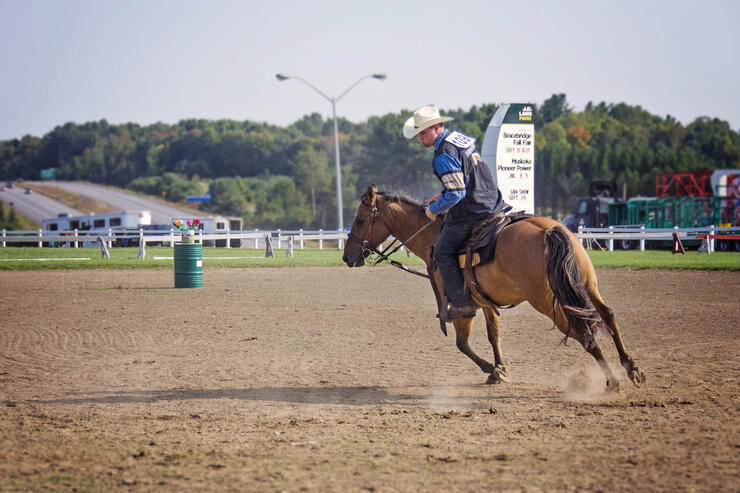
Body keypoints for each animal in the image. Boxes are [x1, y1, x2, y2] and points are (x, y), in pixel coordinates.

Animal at [342, 185, 645, 389]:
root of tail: (548, 231)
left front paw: (492, 370)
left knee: (584, 333)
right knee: (608, 315)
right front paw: (499, 368)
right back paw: (631, 368)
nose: (347, 257)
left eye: (359, 220)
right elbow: (493, 336)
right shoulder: (484, 302)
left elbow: (462, 343)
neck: (434, 237)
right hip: (586, 286)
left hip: (549, 301)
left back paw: (612, 380)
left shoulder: (461, 306)